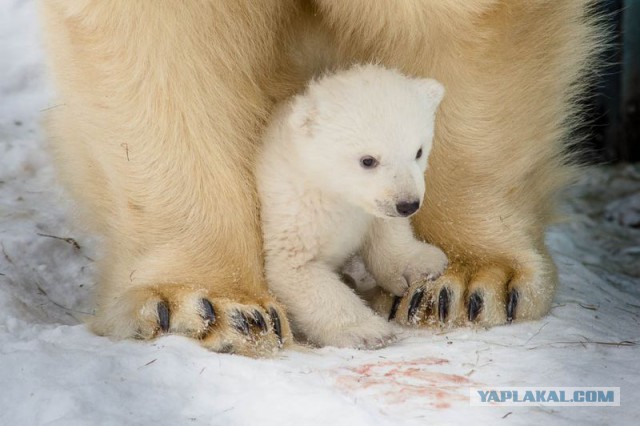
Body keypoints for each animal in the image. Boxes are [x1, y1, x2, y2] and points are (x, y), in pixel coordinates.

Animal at [40, 0, 600, 356]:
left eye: (420, 151)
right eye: (366, 160)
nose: (406, 203)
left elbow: (467, 23)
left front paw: (465, 283)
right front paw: (211, 306)